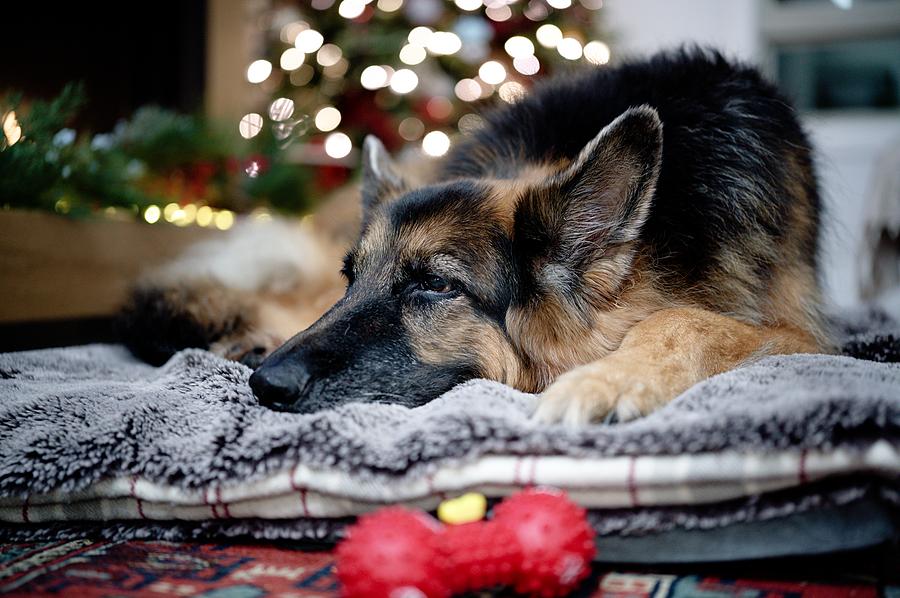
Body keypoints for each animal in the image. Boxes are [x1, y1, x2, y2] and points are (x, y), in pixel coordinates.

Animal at [120, 48, 832, 426]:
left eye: (435, 286)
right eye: (355, 279)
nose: (266, 387)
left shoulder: (800, 335)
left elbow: (689, 320)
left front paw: (607, 381)